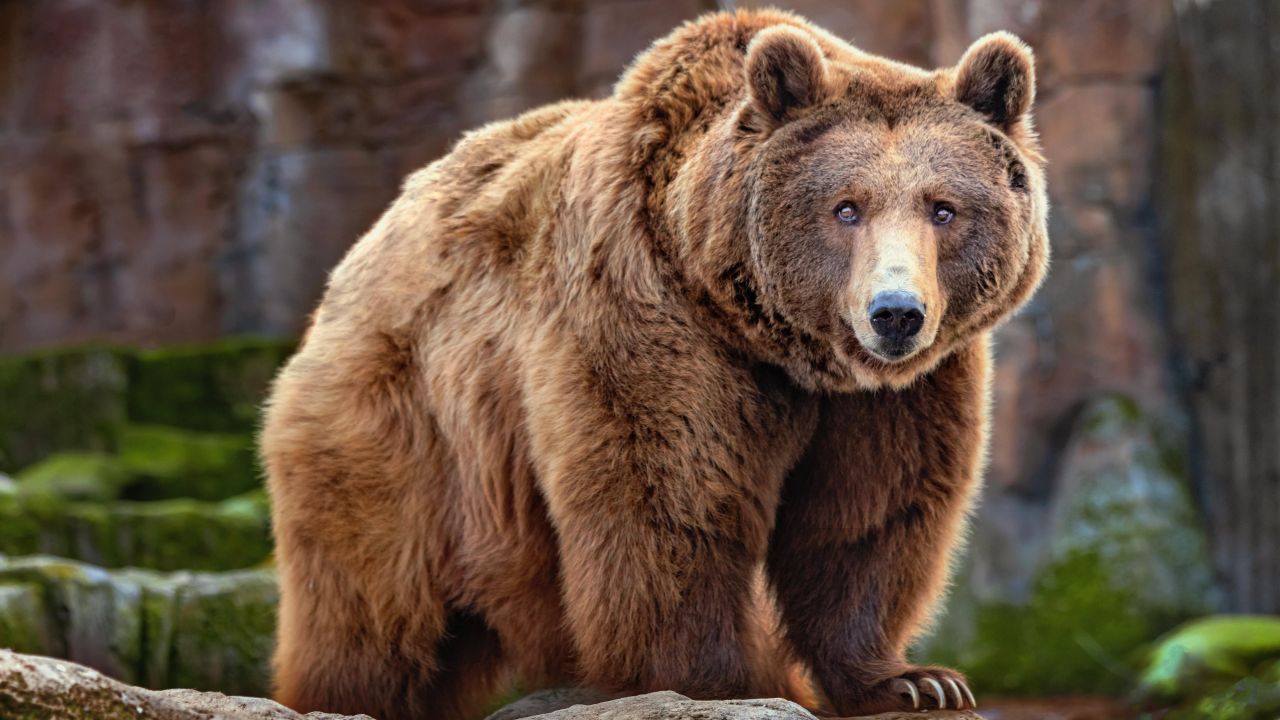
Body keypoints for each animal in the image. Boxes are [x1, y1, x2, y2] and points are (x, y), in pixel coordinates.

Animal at [261, 9, 1049, 720]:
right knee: (373, 600)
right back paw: (339, 693)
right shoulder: (649, 319)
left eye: (944, 208)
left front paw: (914, 681)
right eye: (845, 207)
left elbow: (869, 517)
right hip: (403, 425)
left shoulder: (900, 393)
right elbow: (668, 500)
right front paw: (719, 680)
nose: (895, 312)